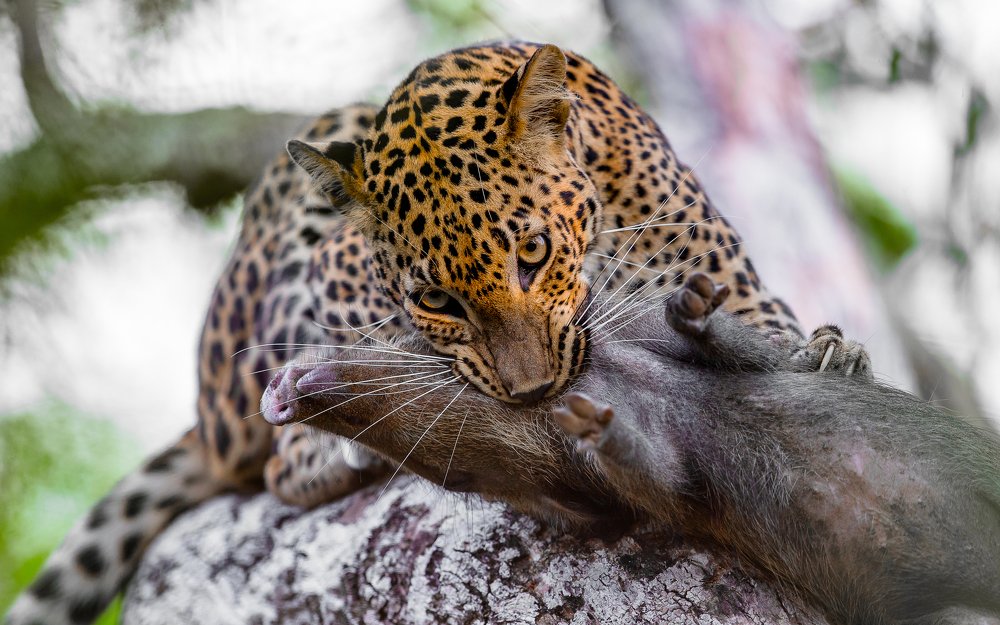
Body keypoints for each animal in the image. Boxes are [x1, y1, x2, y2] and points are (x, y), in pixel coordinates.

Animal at [5, 41, 866, 625]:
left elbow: (766, 331)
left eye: (533, 253)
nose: (533, 388)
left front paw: (833, 351)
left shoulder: (721, 279)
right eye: (437, 297)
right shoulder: (335, 271)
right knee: (275, 463)